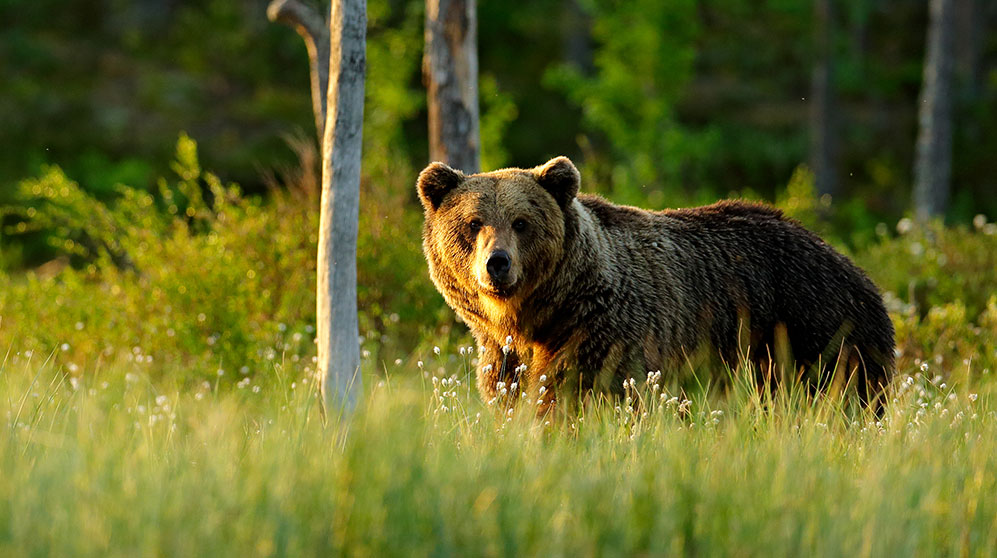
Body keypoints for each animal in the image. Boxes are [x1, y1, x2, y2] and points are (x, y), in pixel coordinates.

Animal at [416, 155, 900, 414]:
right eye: (473, 222)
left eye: (521, 222)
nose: (496, 264)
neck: (542, 316)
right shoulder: (504, 357)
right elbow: (512, 396)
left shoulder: (605, 334)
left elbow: (578, 396)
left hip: (816, 331)